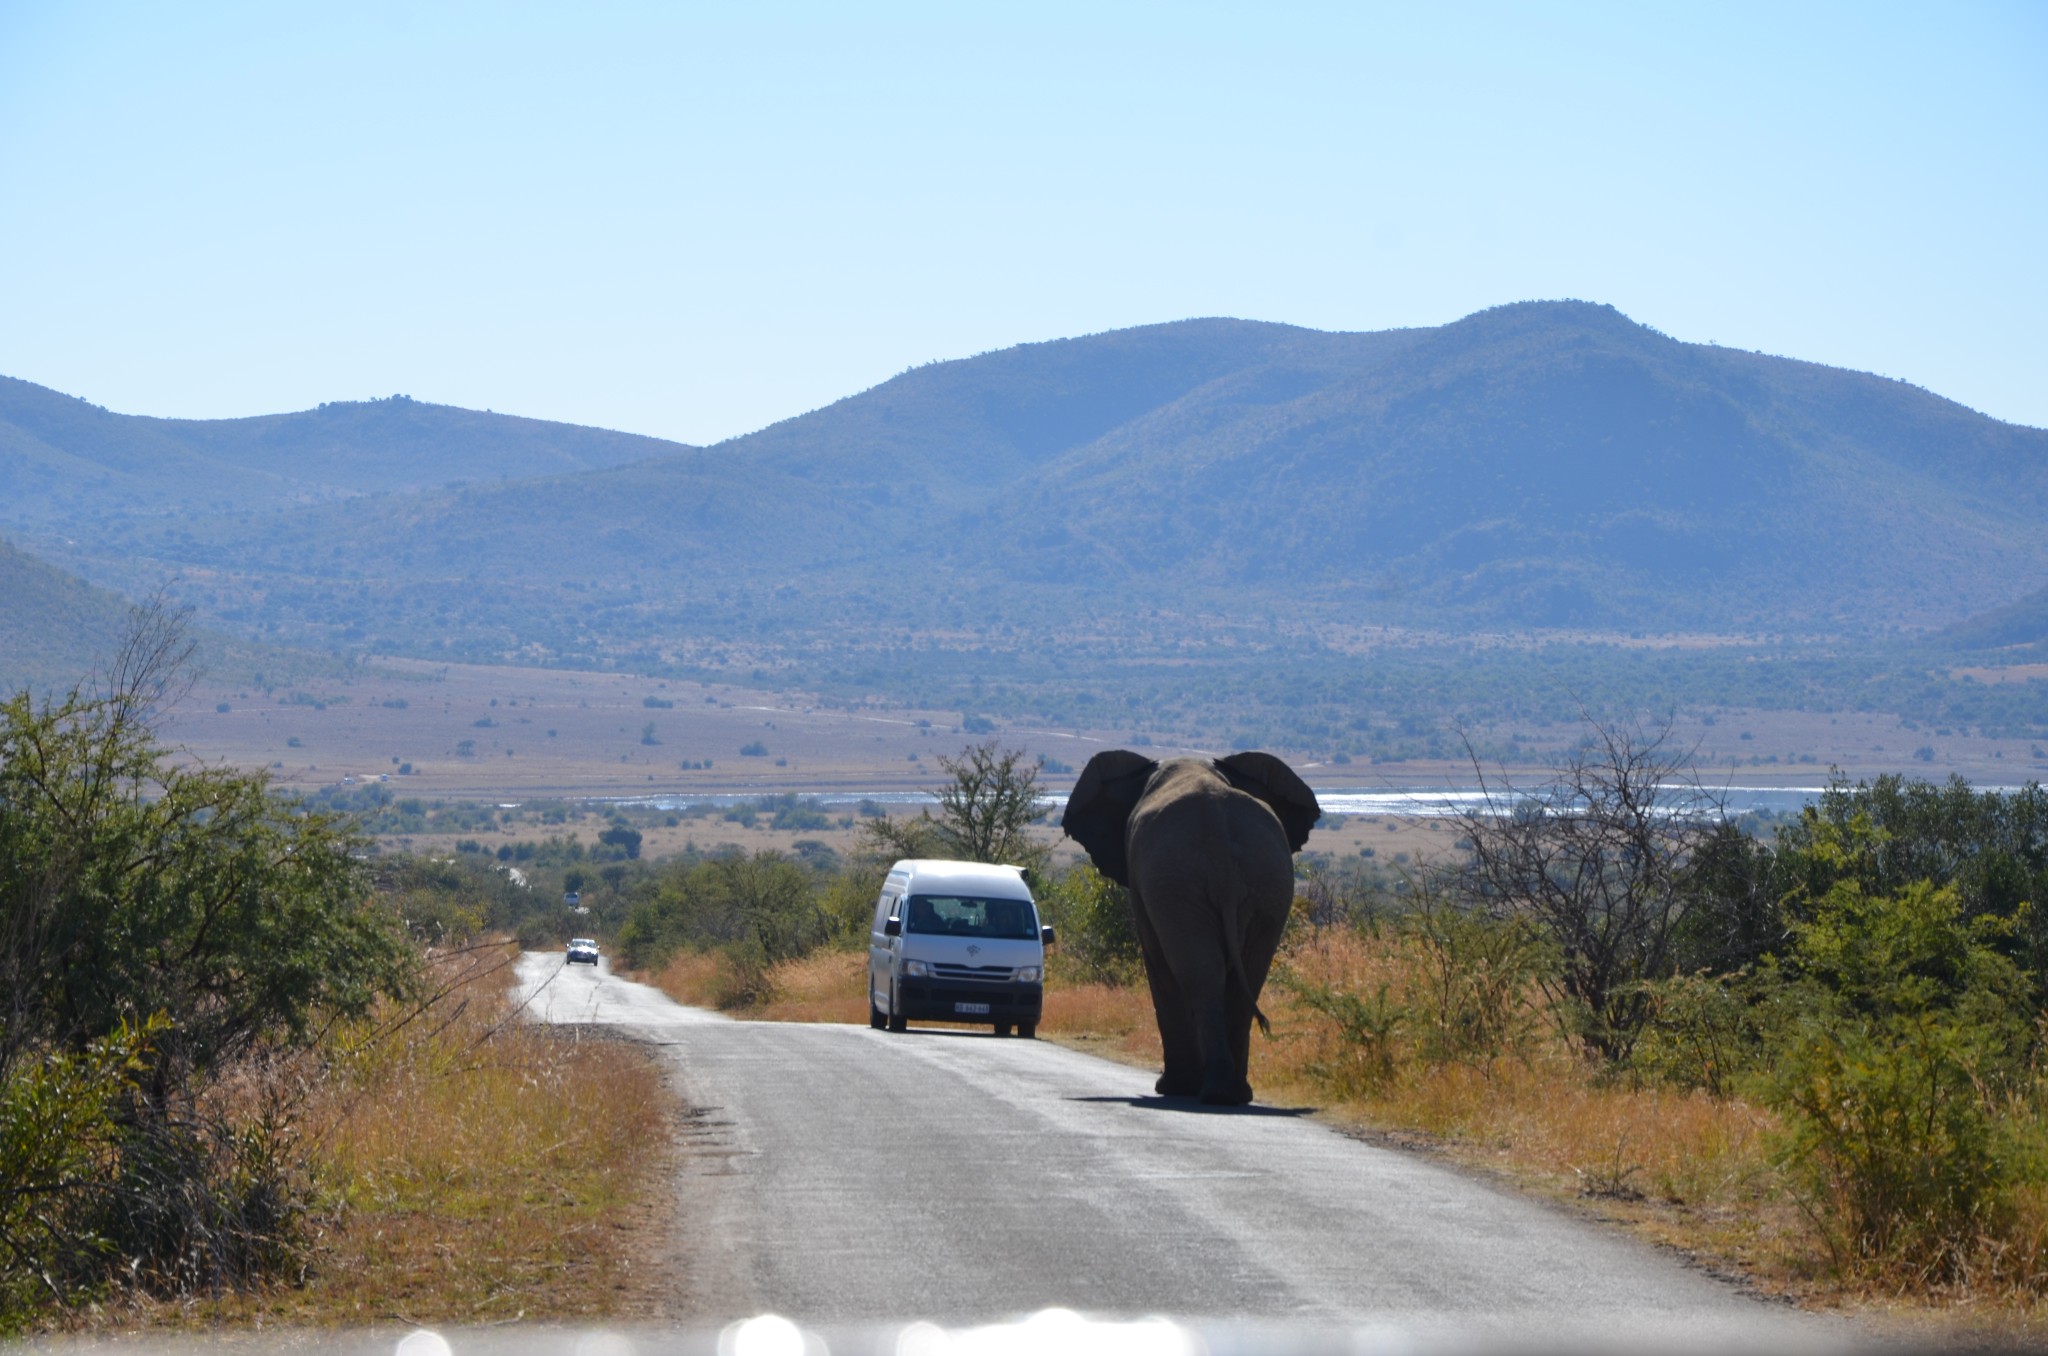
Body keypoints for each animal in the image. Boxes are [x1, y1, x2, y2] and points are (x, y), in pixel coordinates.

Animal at [1064, 749, 1318, 1114]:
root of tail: (1222, 850)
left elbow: (1157, 962)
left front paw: (1170, 1088)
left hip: (1178, 885)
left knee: (1198, 973)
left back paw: (1209, 1093)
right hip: (1268, 883)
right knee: (1245, 977)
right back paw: (1234, 1094)